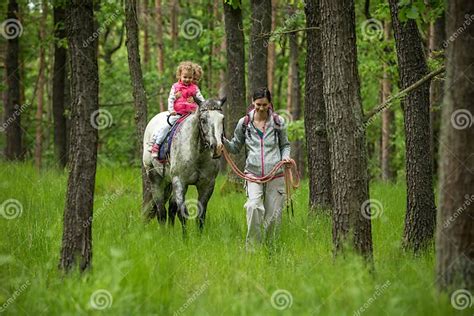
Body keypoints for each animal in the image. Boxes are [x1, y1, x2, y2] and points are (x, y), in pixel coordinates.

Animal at [141, 97, 226, 231]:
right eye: (203, 120)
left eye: (222, 119)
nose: (217, 147)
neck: (196, 154)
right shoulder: (180, 182)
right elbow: (182, 214)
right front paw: (185, 236)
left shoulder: (207, 185)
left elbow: (200, 215)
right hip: (155, 178)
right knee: (161, 211)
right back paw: (164, 233)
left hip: (169, 181)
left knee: (171, 208)